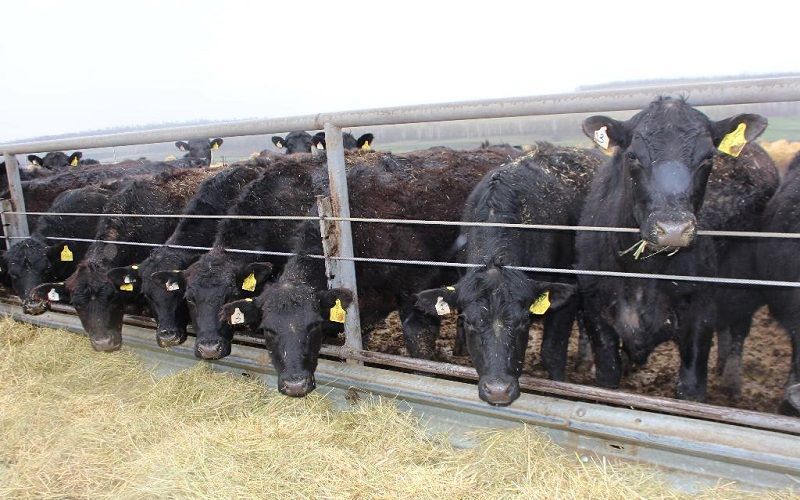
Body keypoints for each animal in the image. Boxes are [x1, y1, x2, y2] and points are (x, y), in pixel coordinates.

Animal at [576, 96, 772, 402]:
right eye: (632, 156)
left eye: (708, 157)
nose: (673, 228)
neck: (643, 274)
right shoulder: (597, 315)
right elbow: (608, 375)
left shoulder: (700, 318)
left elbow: (691, 388)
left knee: (737, 329)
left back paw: (730, 382)